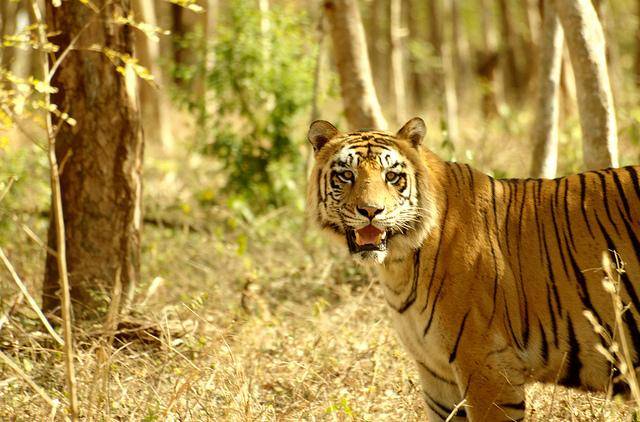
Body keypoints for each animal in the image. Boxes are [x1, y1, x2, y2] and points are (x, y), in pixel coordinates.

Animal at [306, 117, 640, 421]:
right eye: (346, 175)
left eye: (392, 176)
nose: (371, 211)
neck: (398, 265)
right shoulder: (436, 376)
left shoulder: (487, 369)